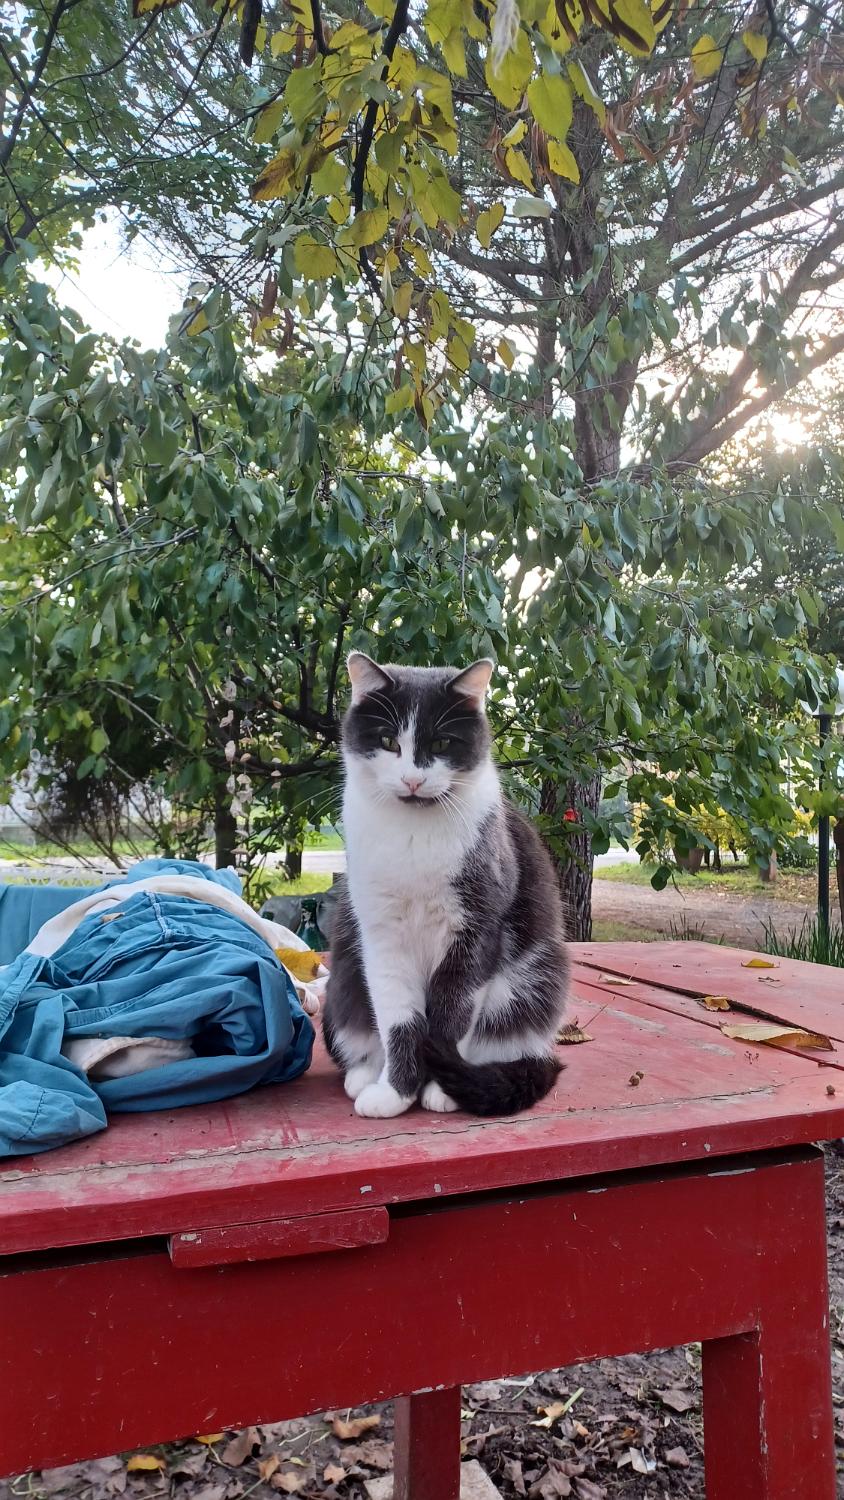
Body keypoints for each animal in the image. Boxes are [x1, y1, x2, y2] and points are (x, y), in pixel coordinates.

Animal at [322, 652, 569, 1119]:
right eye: (387, 740)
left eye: (440, 745)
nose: (412, 780)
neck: (414, 836)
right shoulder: (382, 936)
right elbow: (399, 1019)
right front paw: (396, 1092)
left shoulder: (476, 929)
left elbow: (452, 1014)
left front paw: (441, 1086)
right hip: (343, 976)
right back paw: (364, 1075)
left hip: (537, 978)